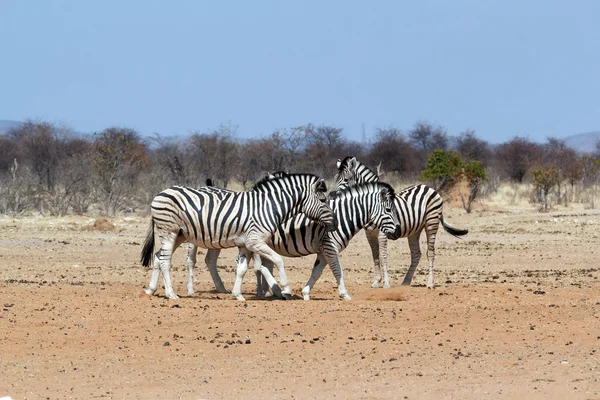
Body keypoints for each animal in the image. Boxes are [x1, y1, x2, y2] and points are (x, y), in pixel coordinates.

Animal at [142, 173, 338, 300]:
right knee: (165, 260)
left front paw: (238, 295)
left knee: (158, 256)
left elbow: (242, 269)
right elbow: (278, 260)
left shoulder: (245, 244)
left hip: (179, 235)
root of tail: (160, 193)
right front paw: (286, 289)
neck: (270, 207)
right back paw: (171, 294)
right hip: (169, 231)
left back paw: (151, 290)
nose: (335, 224)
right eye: (323, 200)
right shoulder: (255, 241)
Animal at [332, 155, 468, 288]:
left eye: (346, 180)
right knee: (416, 254)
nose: (332, 196)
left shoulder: (383, 233)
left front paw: (386, 283)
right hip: (415, 230)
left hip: (431, 223)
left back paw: (430, 283)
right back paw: (406, 281)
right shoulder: (369, 234)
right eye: (334, 179)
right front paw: (376, 281)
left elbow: (383, 256)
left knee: (430, 253)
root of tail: (429, 188)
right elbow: (375, 256)